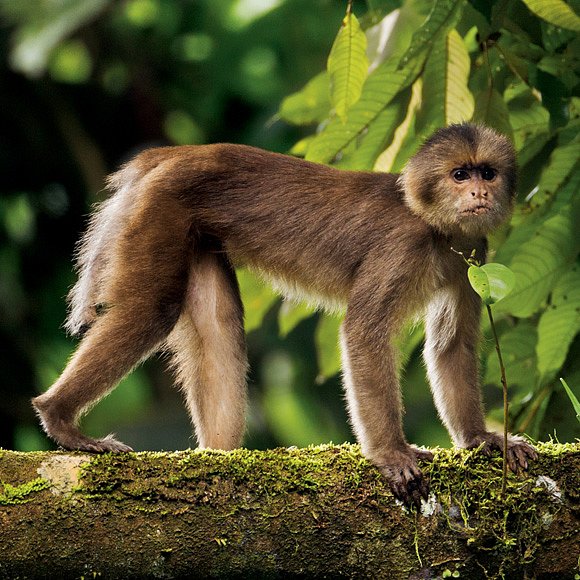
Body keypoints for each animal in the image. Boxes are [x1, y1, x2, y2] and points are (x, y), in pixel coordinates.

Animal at [34, 122, 536, 502]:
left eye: (487, 173)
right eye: (459, 175)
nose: (478, 193)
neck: (432, 226)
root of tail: (177, 153)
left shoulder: (473, 252)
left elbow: (454, 346)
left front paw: (480, 439)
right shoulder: (403, 246)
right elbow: (363, 331)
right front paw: (392, 454)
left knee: (218, 330)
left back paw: (217, 457)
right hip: (162, 205)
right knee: (152, 311)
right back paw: (59, 417)